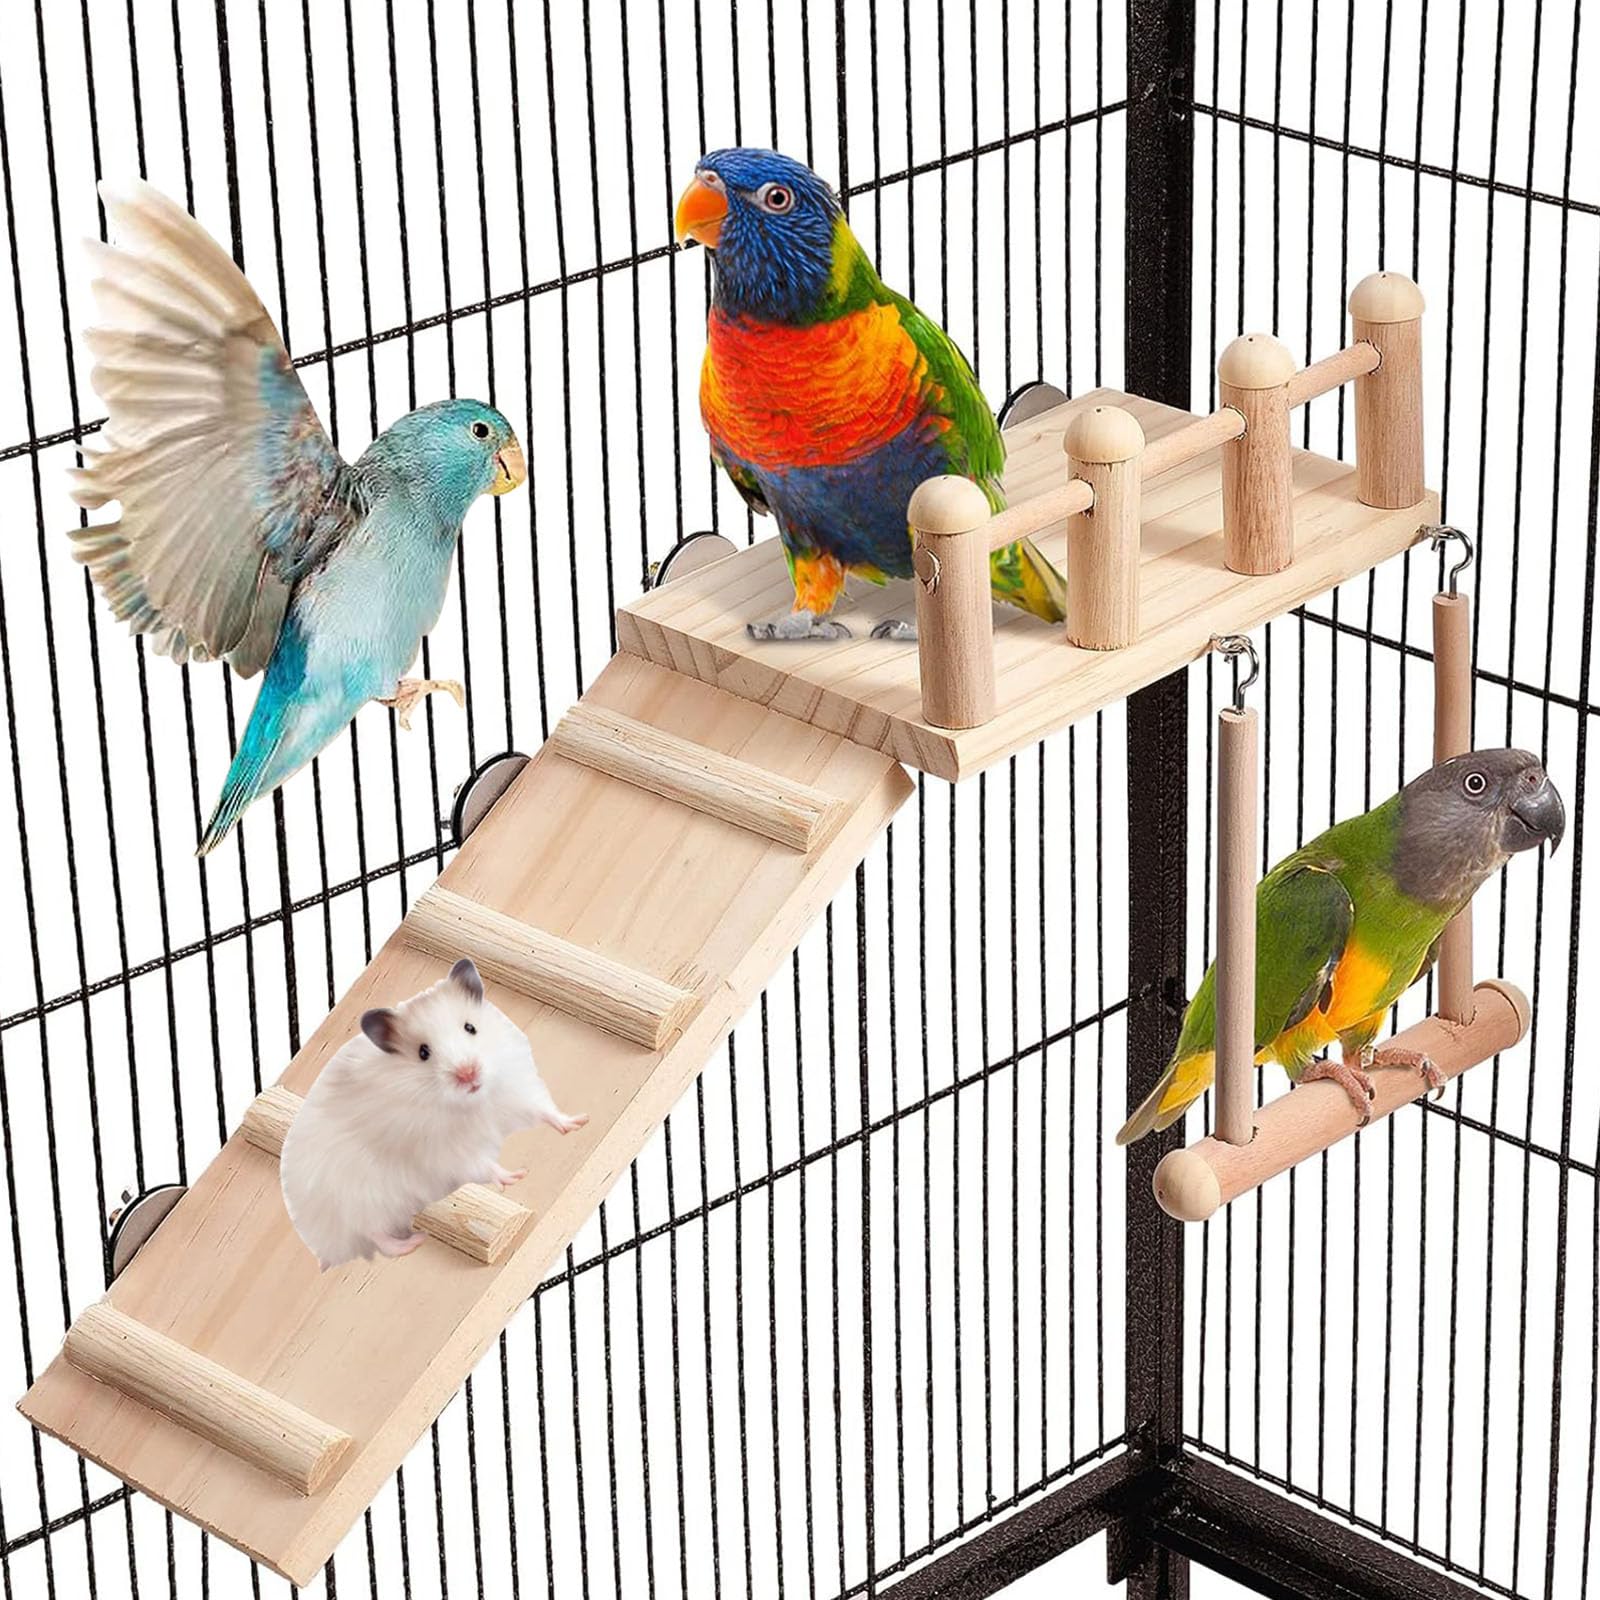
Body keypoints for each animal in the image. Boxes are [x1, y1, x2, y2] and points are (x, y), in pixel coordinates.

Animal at [280, 957, 588, 1269]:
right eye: (423, 1052)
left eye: (470, 1027)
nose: (468, 1073)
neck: (471, 1102)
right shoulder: (446, 1150)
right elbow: (482, 1164)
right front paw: (515, 1176)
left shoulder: (516, 1091)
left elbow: (543, 1110)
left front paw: (578, 1122)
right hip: (360, 1200)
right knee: (374, 1234)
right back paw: (413, 1241)